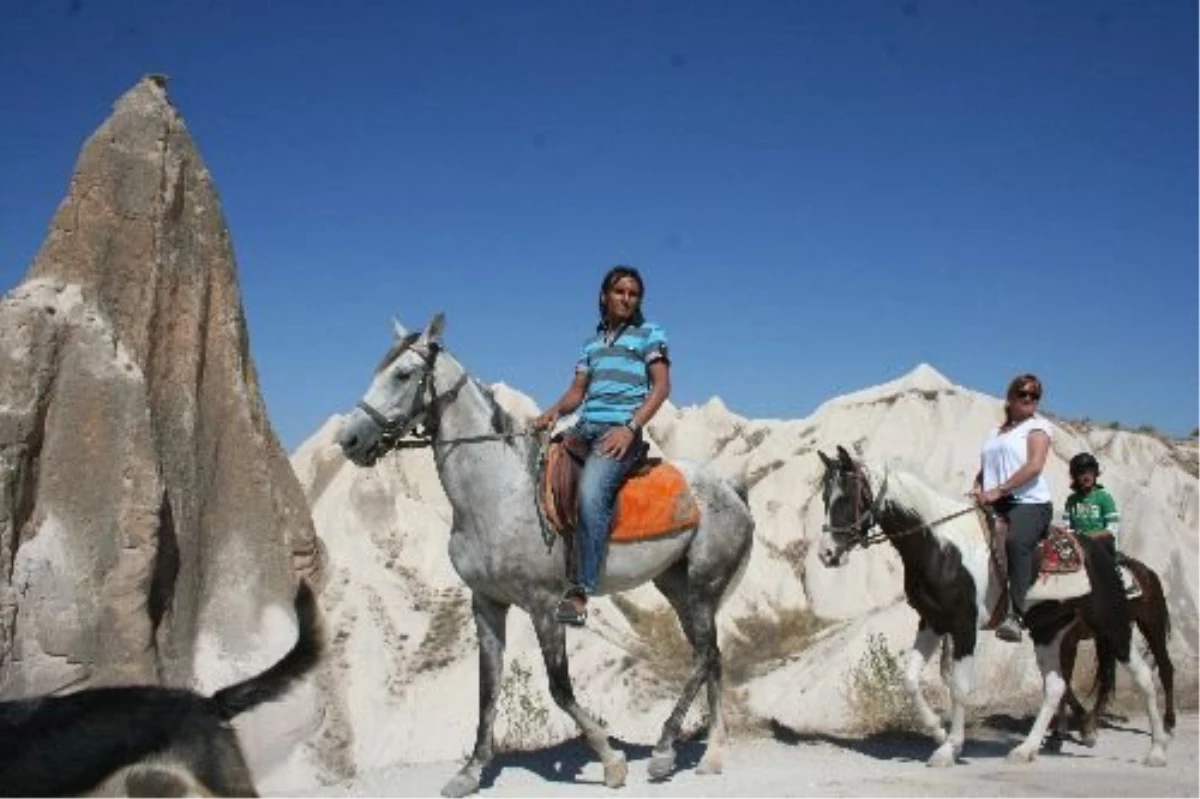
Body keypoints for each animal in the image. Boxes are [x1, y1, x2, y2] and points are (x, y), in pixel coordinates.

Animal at [338, 314, 748, 791]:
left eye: (403, 374)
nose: (349, 439)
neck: (498, 495)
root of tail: (731, 489)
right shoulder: (486, 604)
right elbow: (487, 687)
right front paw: (470, 772)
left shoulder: (545, 605)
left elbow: (559, 688)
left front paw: (610, 760)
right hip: (677, 585)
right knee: (712, 655)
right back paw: (712, 753)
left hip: (703, 584)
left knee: (704, 656)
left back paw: (665, 751)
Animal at [816, 448, 1171, 767]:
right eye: (824, 499)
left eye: (845, 498)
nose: (826, 554)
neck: (942, 546)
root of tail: (1099, 551)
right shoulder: (932, 622)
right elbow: (910, 678)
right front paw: (939, 732)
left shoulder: (964, 625)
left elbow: (959, 686)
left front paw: (950, 749)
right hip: (1050, 631)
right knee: (1056, 686)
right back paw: (1026, 749)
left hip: (1113, 623)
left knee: (1145, 675)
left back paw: (1158, 748)